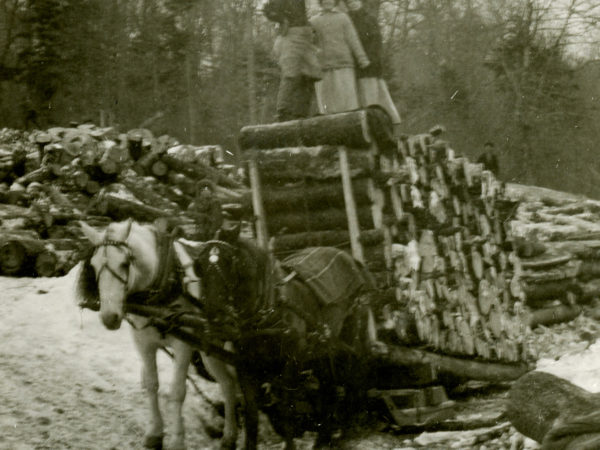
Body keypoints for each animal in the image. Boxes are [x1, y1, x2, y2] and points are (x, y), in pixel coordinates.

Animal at [77, 221, 239, 450]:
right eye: (93, 265)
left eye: (125, 263)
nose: (109, 317)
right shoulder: (143, 342)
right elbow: (152, 385)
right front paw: (154, 432)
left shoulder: (183, 345)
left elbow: (177, 392)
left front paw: (177, 440)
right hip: (208, 347)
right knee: (227, 382)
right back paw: (229, 434)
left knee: (231, 381)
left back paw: (231, 432)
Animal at [192, 227, 380, 448]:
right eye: (199, 265)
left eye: (231, 262)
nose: (215, 316)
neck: (267, 308)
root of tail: (353, 261)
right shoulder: (246, 367)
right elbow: (251, 414)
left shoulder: (291, 364)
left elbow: (285, 409)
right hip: (322, 349)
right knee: (329, 386)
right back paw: (323, 439)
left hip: (350, 339)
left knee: (353, 375)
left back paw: (348, 430)